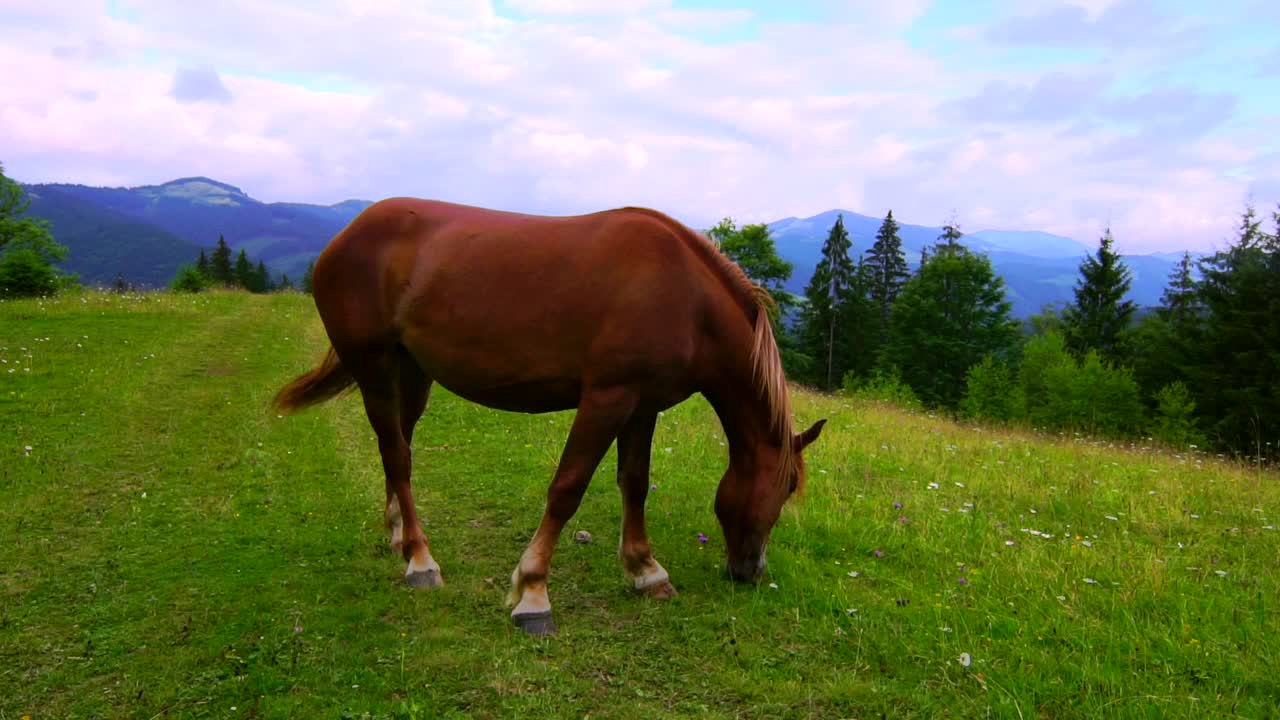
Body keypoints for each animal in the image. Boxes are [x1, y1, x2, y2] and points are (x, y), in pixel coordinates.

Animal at [273, 197, 824, 632]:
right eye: (787, 488)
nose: (751, 571)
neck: (687, 299)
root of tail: (347, 234)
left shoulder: (642, 406)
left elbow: (635, 483)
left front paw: (646, 571)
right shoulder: (607, 398)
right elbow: (567, 489)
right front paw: (534, 592)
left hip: (412, 373)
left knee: (398, 446)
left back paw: (398, 536)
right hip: (373, 366)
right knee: (396, 454)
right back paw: (421, 560)